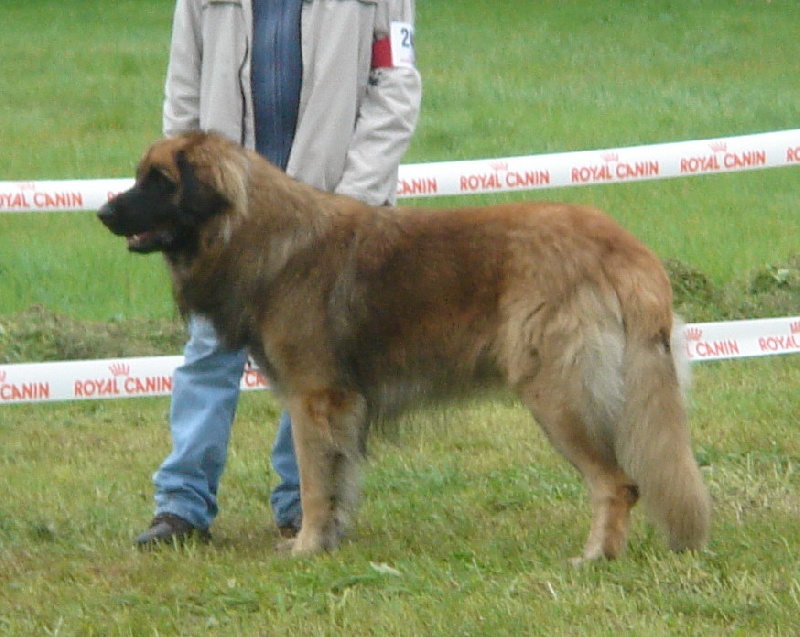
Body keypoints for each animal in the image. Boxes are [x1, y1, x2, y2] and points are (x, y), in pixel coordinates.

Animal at [98, 131, 710, 562]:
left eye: (159, 180)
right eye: (140, 176)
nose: (102, 212)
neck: (263, 236)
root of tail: (623, 249)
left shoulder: (315, 399)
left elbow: (315, 481)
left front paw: (307, 546)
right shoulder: (342, 407)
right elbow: (339, 479)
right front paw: (329, 538)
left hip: (557, 395)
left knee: (618, 483)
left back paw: (594, 557)